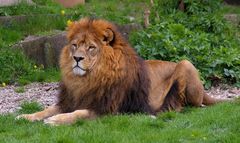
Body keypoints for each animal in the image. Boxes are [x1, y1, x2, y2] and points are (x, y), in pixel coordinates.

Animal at [17, 17, 223, 125]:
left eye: (91, 47)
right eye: (75, 45)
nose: (77, 59)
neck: (87, 79)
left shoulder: (107, 109)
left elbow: (78, 113)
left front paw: (56, 120)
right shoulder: (70, 100)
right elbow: (46, 109)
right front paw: (25, 116)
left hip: (185, 63)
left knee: (193, 105)